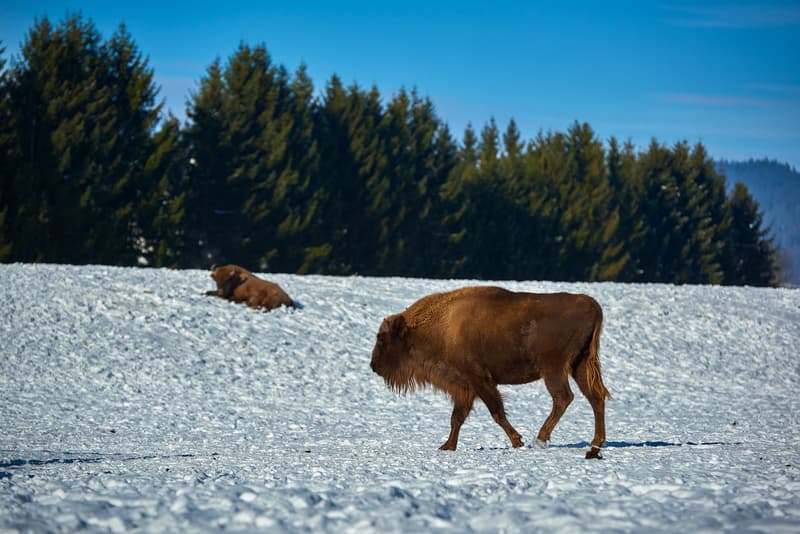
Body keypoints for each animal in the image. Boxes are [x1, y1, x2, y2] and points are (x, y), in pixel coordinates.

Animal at [370, 286, 611, 459]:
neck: (441, 327)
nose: (373, 365)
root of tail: (592, 305)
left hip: (554, 369)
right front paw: (447, 446)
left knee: (564, 398)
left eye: (382, 339)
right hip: (579, 366)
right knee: (595, 398)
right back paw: (596, 443)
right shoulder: (465, 388)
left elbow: (496, 412)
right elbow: (457, 417)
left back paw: (540, 439)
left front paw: (517, 441)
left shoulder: (479, 380)